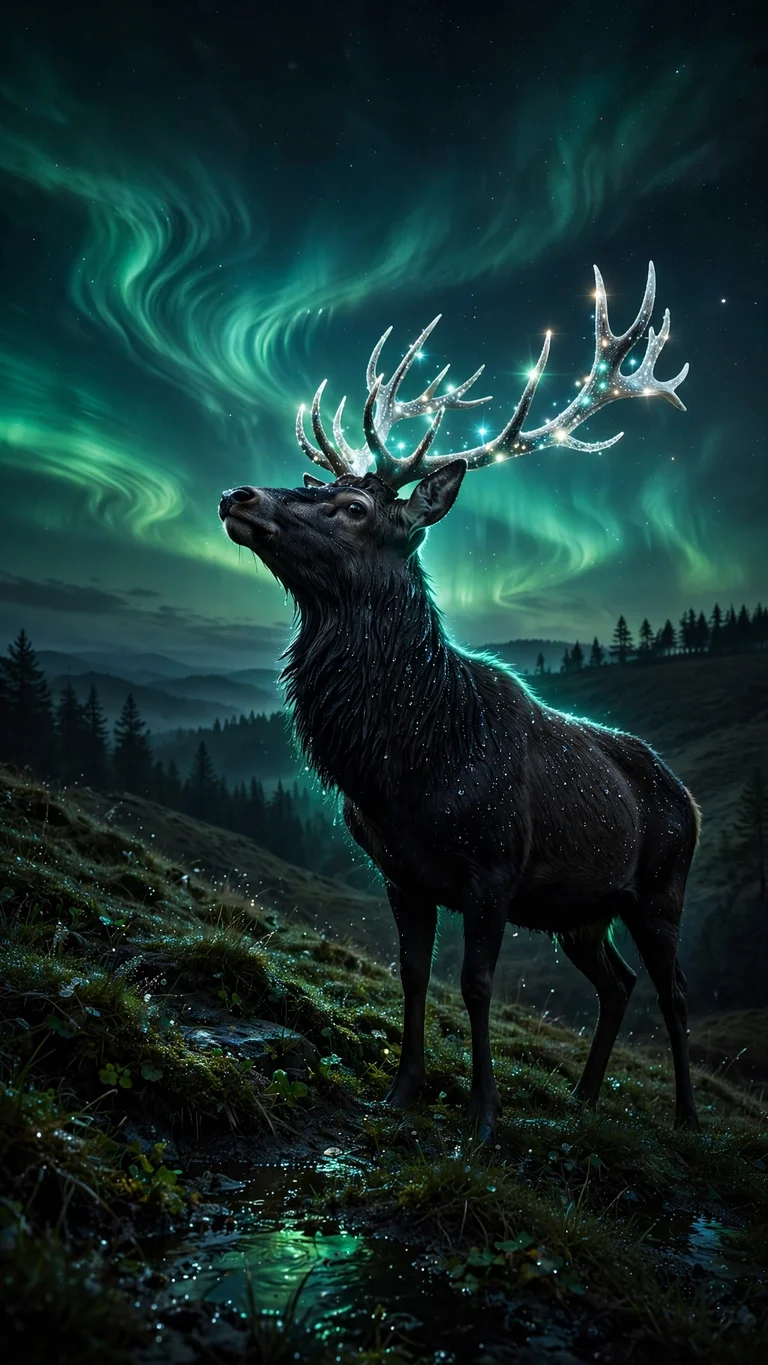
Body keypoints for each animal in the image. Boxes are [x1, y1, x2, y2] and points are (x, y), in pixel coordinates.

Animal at [219, 262, 701, 1139]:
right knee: (616, 983)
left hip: (660, 888)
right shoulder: (401, 870)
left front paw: (483, 1114)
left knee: (673, 992)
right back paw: (583, 1098)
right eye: (319, 483)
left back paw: (685, 1118)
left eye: (354, 507)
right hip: (583, 908)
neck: (409, 762)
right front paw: (402, 1088)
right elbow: (411, 973)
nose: (239, 495)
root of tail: (691, 798)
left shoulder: (494, 865)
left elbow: (476, 987)